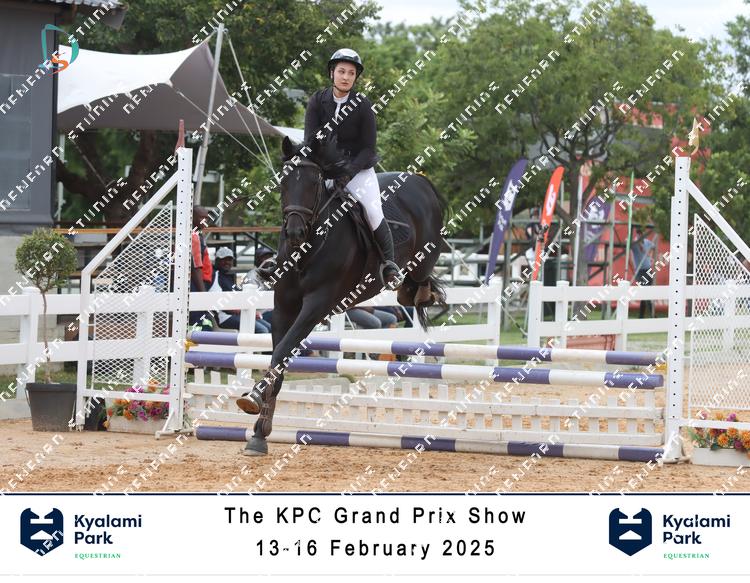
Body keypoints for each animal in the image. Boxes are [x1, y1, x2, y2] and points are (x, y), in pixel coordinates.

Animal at [236, 136, 447, 455]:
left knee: (419, 284)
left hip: (423, 258)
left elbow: (282, 351)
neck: (306, 250)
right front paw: (260, 432)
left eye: (314, 182)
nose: (294, 232)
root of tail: (421, 181)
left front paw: (255, 398)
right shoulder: (283, 307)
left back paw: (417, 291)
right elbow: (279, 355)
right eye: (283, 182)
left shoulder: (316, 306)